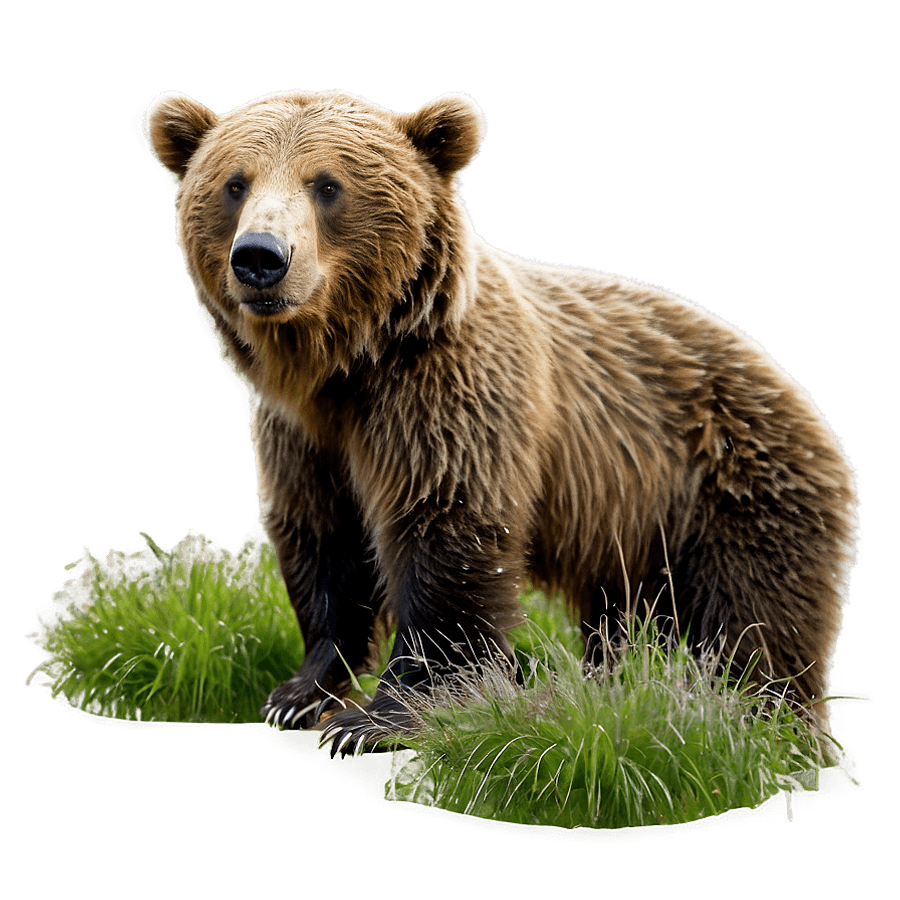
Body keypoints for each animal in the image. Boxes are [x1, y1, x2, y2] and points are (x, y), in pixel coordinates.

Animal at [141, 88, 859, 758]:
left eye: (327, 184)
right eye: (236, 182)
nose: (261, 257)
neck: (346, 366)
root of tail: (800, 395)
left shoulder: (446, 398)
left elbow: (444, 532)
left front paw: (377, 719)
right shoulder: (302, 435)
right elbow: (323, 539)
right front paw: (299, 693)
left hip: (736, 488)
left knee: (757, 624)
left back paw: (769, 728)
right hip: (635, 524)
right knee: (631, 618)